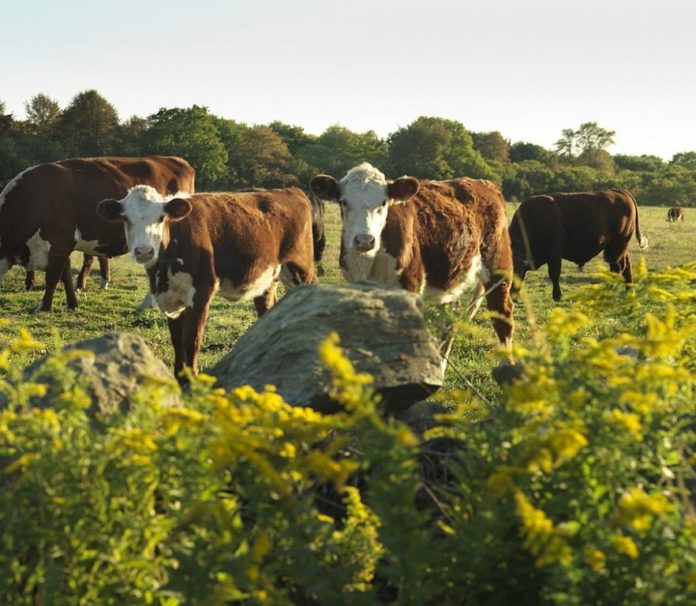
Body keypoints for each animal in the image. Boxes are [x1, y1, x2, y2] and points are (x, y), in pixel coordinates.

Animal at [0, 157, 193, 314]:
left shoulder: (60, 242)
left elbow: (53, 277)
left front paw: (44, 307)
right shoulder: (63, 246)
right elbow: (66, 275)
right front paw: (72, 304)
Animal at [96, 184, 318, 380]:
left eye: (161, 218)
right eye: (125, 218)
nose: (144, 251)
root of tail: (290, 190)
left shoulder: (202, 291)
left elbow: (191, 339)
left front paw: (191, 378)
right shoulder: (171, 296)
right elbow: (177, 340)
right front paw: (179, 376)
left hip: (301, 268)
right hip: (268, 276)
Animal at [310, 163, 516, 352]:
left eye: (383, 203)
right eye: (344, 202)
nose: (364, 240)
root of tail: (485, 184)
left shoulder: (410, 284)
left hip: (498, 265)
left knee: (502, 315)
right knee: (451, 320)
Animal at [508, 189, 648, 302]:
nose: (511, 296)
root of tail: (622, 192)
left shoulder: (554, 254)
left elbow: (554, 274)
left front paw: (557, 296)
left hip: (616, 246)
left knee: (618, 267)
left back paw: (609, 291)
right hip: (619, 248)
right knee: (625, 266)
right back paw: (629, 291)